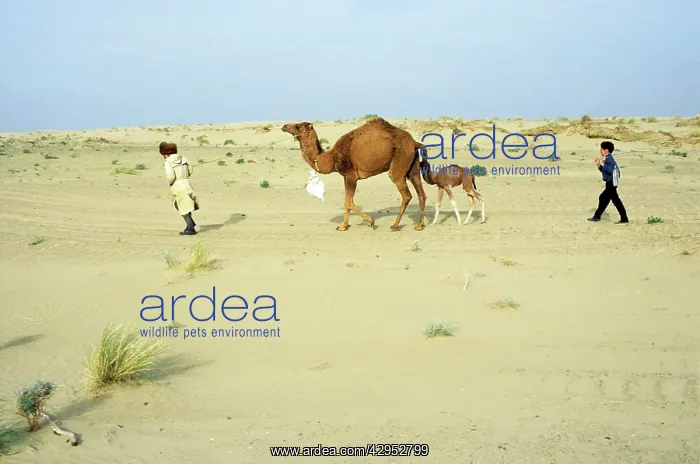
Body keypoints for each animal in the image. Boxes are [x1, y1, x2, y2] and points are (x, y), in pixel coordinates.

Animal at [281, 117, 427, 231]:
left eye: (298, 126)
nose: (284, 126)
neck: (332, 157)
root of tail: (414, 143)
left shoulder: (350, 175)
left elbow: (349, 202)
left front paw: (370, 221)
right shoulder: (347, 177)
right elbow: (347, 202)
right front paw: (344, 226)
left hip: (400, 159)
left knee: (406, 194)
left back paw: (395, 225)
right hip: (412, 166)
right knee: (421, 193)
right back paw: (419, 225)